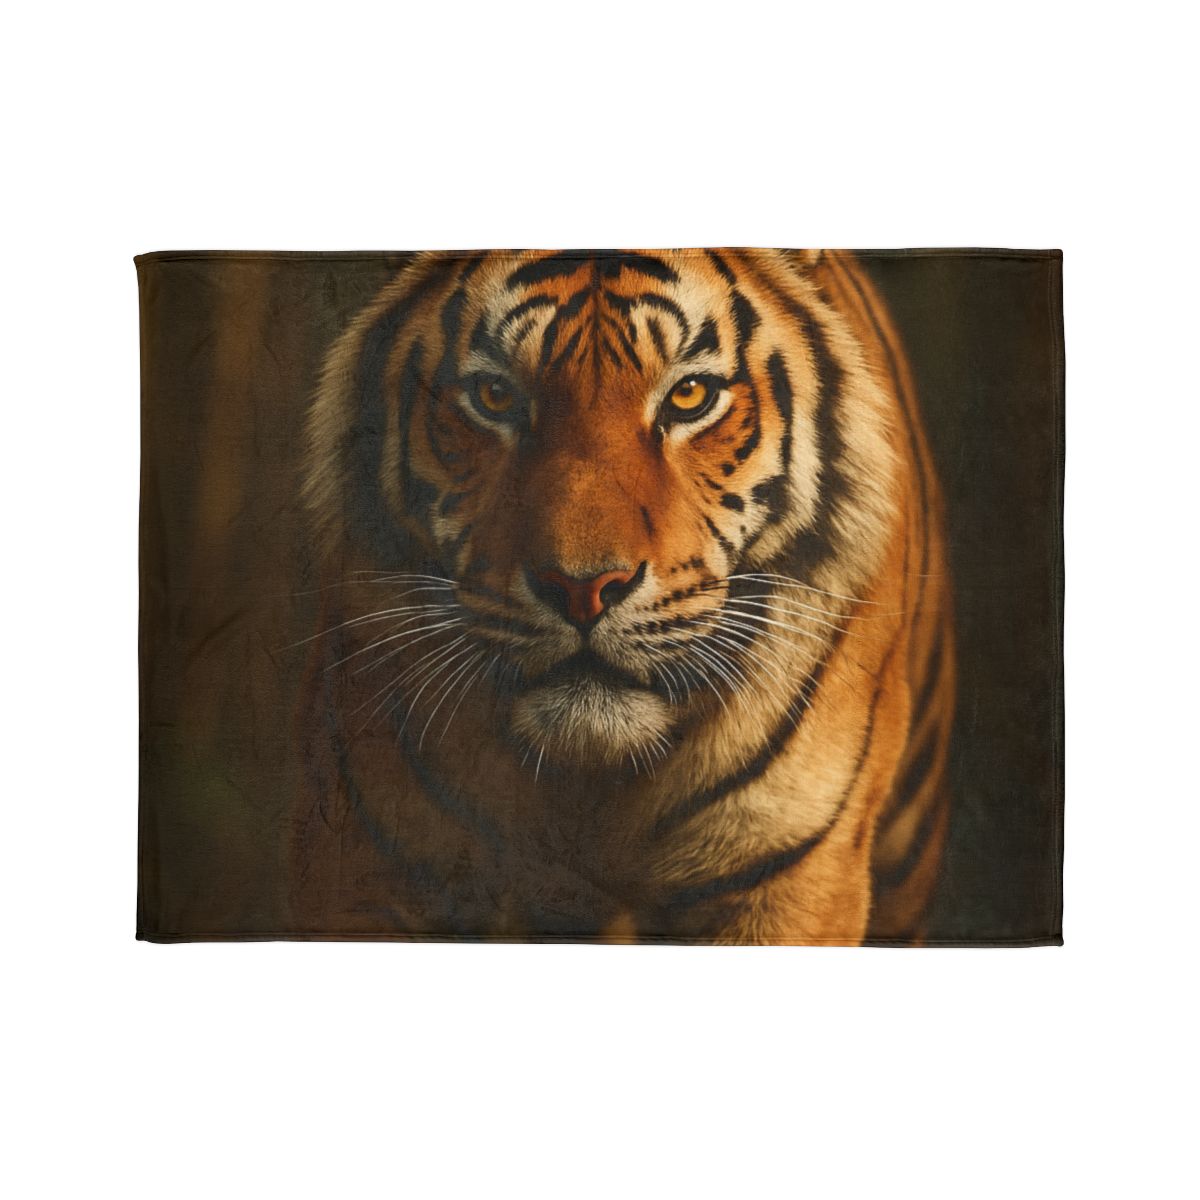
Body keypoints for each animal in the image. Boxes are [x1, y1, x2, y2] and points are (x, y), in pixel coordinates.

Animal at [296, 248, 955, 944]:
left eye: (690, 396)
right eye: (495, 395)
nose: (581, 589)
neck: (590, 784)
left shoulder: (784, 870)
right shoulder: (367, 867)